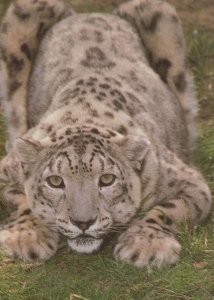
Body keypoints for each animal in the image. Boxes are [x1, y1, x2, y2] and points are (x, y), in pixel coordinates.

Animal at [0, 0, 211, 268]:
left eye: (107, 179)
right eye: (55, 181)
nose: (83, 222)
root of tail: (88, 14)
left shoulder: (189, 181)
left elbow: (170, 209)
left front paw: (146, 245)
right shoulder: (6, 171)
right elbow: (20, 200)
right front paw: (25, 237)